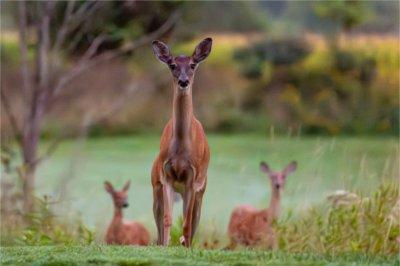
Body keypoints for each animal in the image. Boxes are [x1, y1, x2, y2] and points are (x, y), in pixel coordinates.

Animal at [151, 37, 212, 247]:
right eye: (172, 65)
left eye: (192, 65)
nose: (183, 81)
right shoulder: (166, 176)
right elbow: (168, 219)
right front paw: (165, 246)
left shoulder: (192, 179)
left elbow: (186, 223)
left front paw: (184, 247)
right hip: (156, 186)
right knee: (160, 221)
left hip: (201, 188)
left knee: (193, 221)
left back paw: (187, 244)